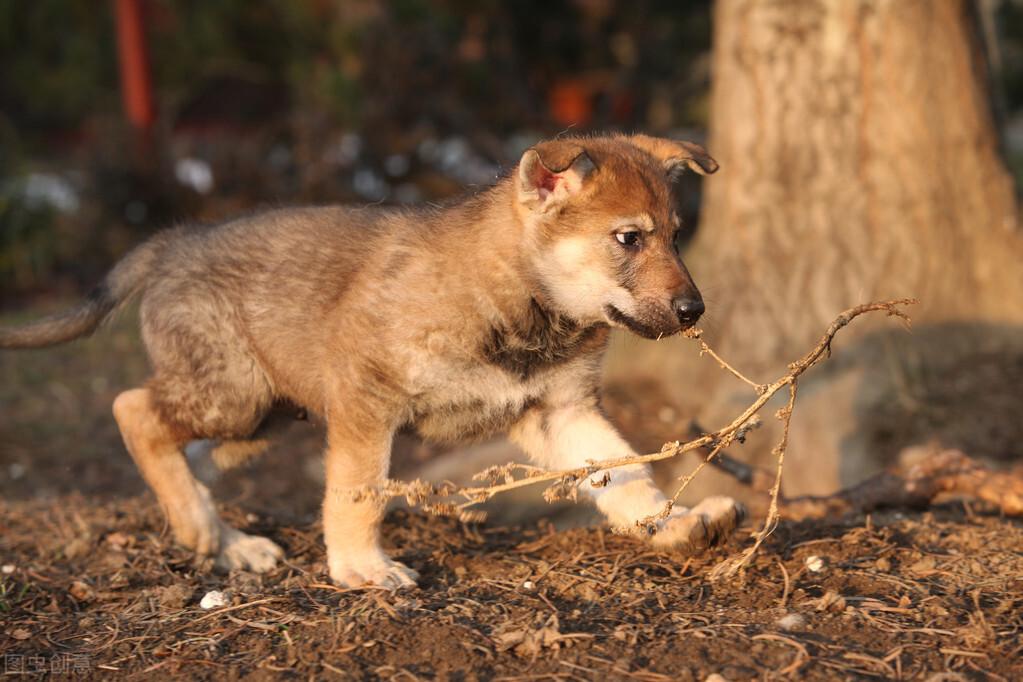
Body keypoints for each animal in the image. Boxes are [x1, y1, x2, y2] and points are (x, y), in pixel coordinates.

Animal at [6, 134, 744, 593]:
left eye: (676, 236)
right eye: (628, 238)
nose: (694, 310)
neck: (520, 301)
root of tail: (172, 243)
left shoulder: (559, 411)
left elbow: (626, 472)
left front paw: (675, 525)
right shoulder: (368, 402)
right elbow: (357, 492)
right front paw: (362, 569)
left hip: (260, 418)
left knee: (186, 453)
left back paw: (223, 541)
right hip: (235, 396)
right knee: (133, 410)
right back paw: (199, 529)